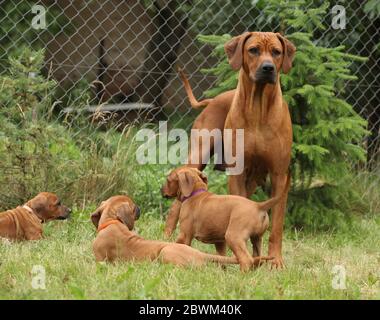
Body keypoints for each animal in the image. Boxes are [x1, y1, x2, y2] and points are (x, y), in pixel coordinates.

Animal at [91, 195, 245, 268]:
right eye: (134, 207)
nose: (139, 208)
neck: (112, 221)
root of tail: (200, 254)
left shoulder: (100, 260)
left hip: (166, 251)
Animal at [160, 166, 288, 272]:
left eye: (168, 180)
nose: (161, 190)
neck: (195, 193)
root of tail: (258, 206)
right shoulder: (220, 242)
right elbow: (221, 258)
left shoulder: (184, 235)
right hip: (257, 239)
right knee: (257, 258)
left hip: (233, 236)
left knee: (246, 259)